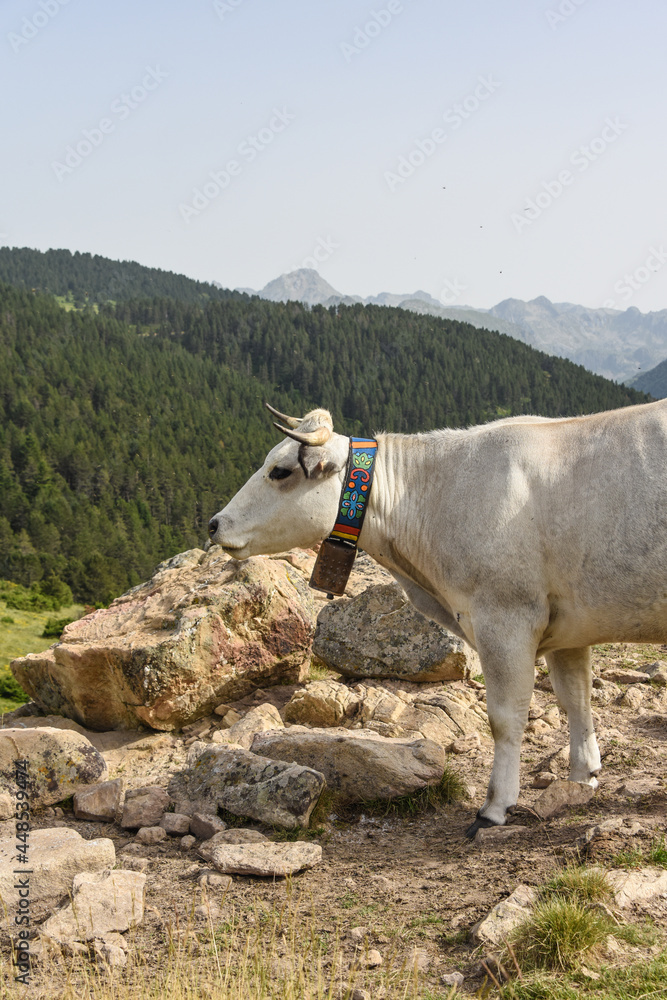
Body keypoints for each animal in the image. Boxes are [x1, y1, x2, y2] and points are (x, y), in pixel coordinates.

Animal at [208, 399, 667, 836]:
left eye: (280, 471)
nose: (214, 524)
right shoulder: (568, 627)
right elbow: (576, 699)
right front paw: (581, 778)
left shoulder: (505, 617)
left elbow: (505, 718)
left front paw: (495, 808)